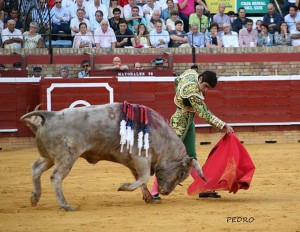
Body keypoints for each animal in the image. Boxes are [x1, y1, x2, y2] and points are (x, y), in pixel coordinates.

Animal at [19, 102, 205, 211]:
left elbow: (141, 180)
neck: (163, 139)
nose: (165, 192)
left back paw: (34, 198)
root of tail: (51, 115)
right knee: (56, 176)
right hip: (67, 157)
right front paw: (124, 187)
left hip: (49, 157)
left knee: (36, 168)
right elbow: (143, 177)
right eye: (182, 173)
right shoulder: (141, 159)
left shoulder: (134, 163)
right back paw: (65, 205)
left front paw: (149, 198)